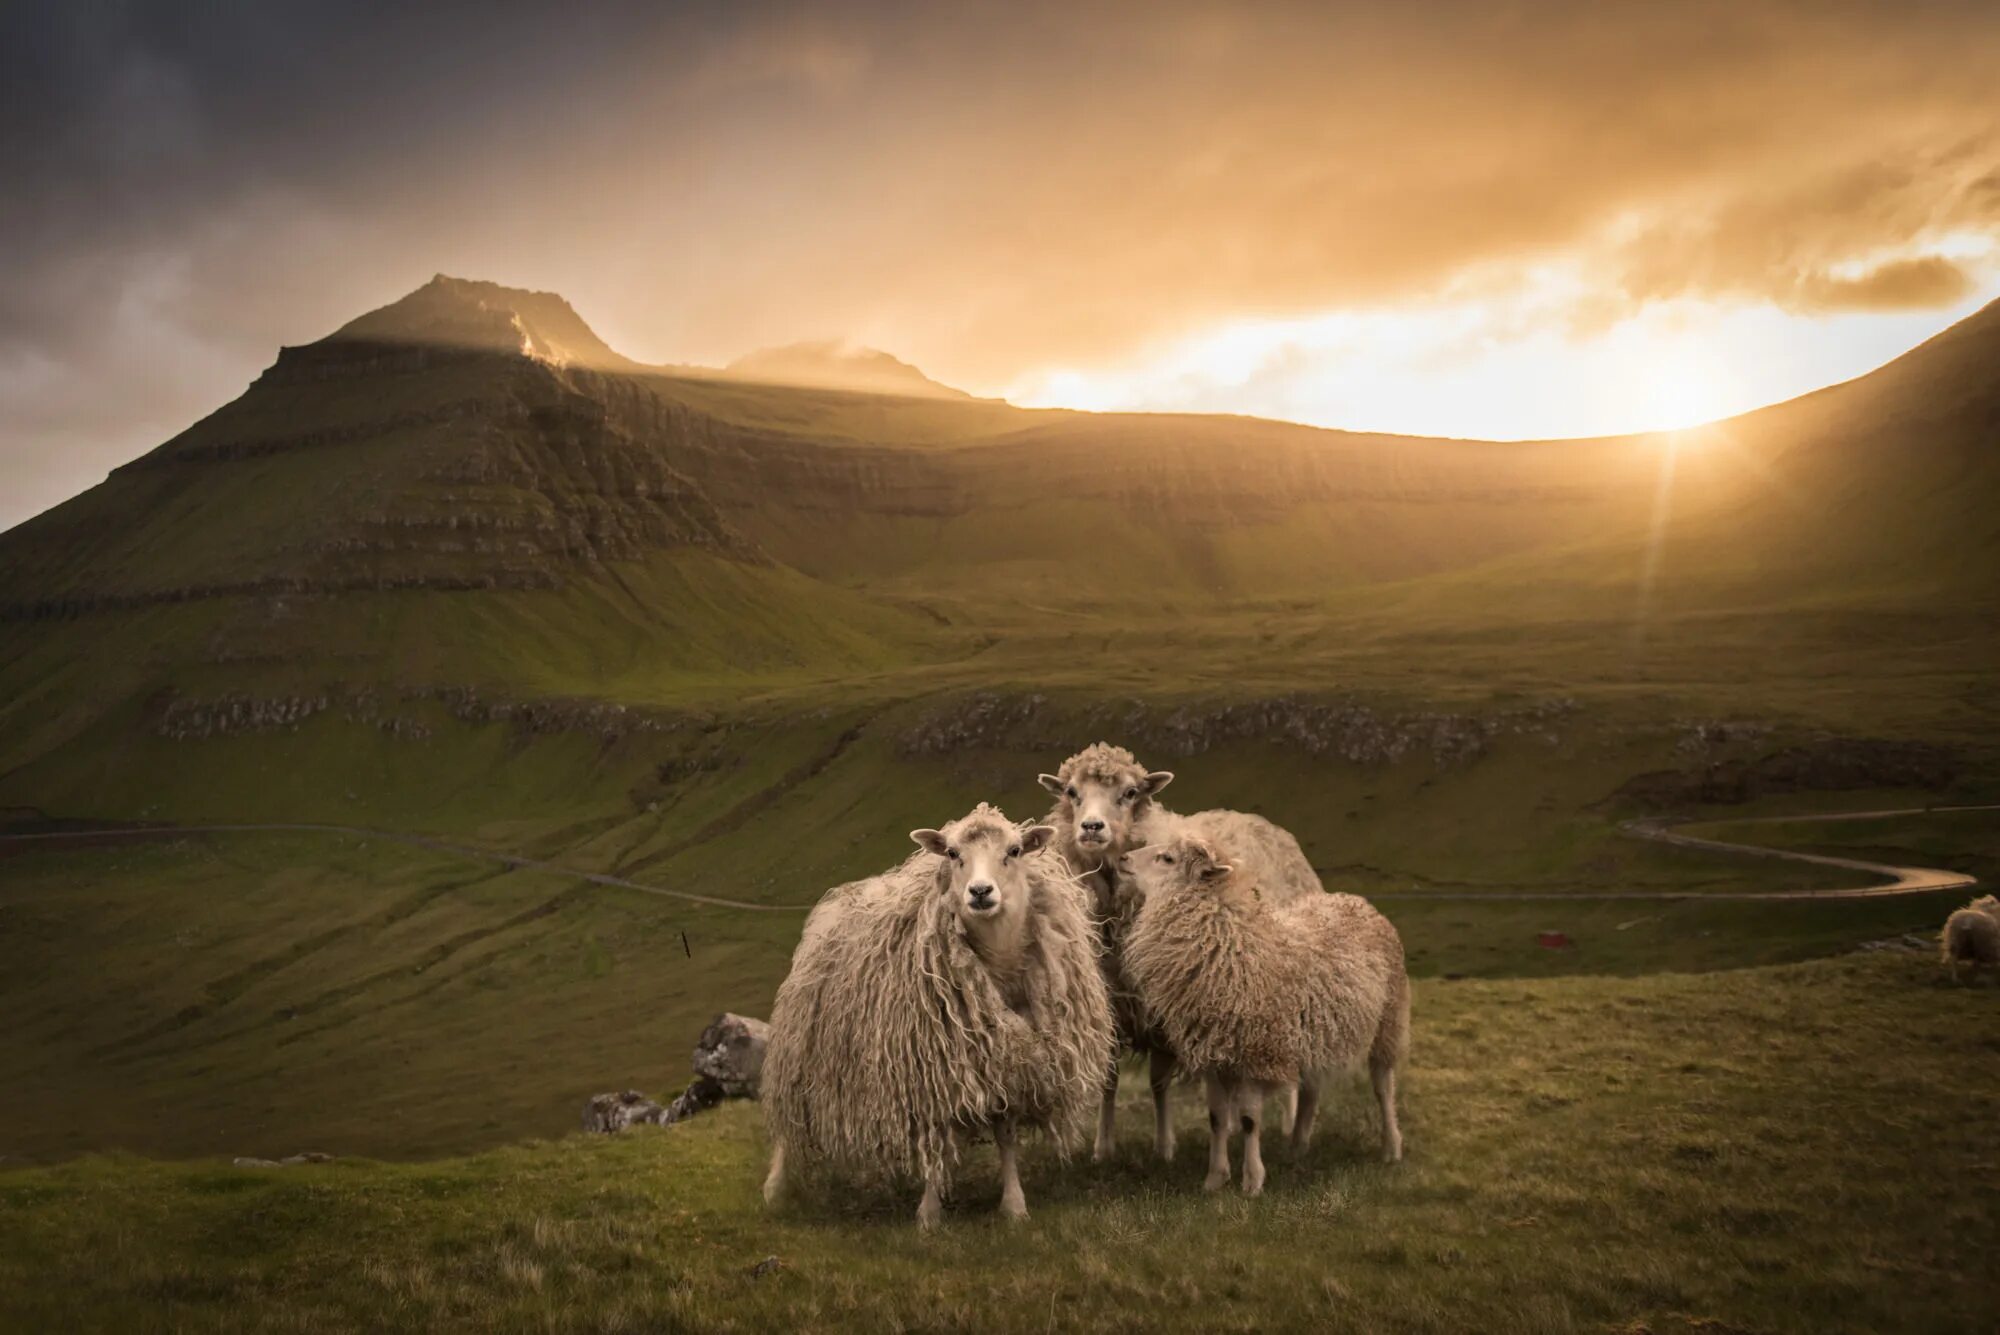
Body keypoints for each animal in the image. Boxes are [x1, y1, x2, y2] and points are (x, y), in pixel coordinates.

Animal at [756, 803, 1120, 1231]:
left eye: (1014, 851)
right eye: (952, 853)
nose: (980, 892)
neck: (999, 964)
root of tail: (836, 898)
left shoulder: (1007, 1061)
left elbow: (1005, 1135)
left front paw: (1014, 1205)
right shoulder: (926, 1067)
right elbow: (934, 1136)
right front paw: (929, 1215)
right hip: (799, 1050)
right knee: (787, 1122)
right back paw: (774, 1187)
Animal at [1040, 739, 1320, 1159]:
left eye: (1130, 793)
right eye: (1072, 792)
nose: (1091, 828)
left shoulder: (1162, 1007)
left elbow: (1158, 1080)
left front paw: (1164, 1145)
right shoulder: (1113, 1001)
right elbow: (1109, 1078)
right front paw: (1103, 1147)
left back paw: (1287, 1125)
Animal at [1112, 835, 1408, 1199]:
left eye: (1167, 858)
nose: (1123, 859)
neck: (1228, 942)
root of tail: (1353, 900)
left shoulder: (1256, 1053)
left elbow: (1249, 1120)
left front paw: (1252, 1180)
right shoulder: (1214, 1057)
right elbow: (1217, 1118)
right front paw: (1215, 1178)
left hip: (1389, 1020)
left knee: (1383, 1088)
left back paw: (1391, 1147)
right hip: (1316, 1033)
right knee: (1311, 1090)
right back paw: (1297, 1146)